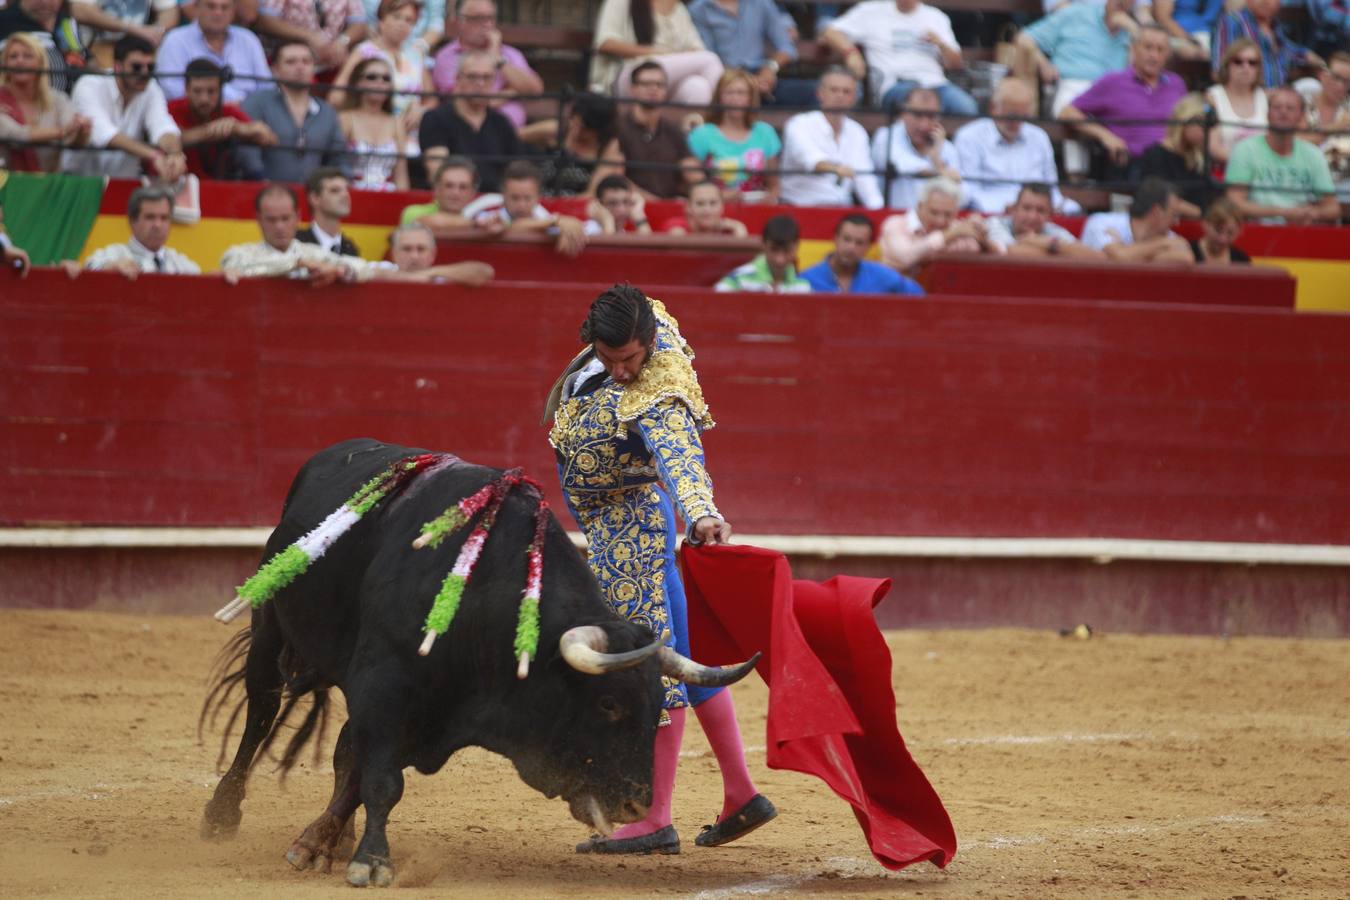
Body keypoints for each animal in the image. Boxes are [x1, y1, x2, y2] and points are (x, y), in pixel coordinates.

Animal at [199, 439, 761, 890]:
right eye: (608, 704)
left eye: (654, 706)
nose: (637, 806)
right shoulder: (385, 687)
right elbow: (380, 779)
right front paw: (370, 862)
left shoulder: (426, 709)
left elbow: (361, 770)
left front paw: (323, 842)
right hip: (269, 626)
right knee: (260, 713)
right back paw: (221, 814)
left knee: (340, 749)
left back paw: (333, 837)